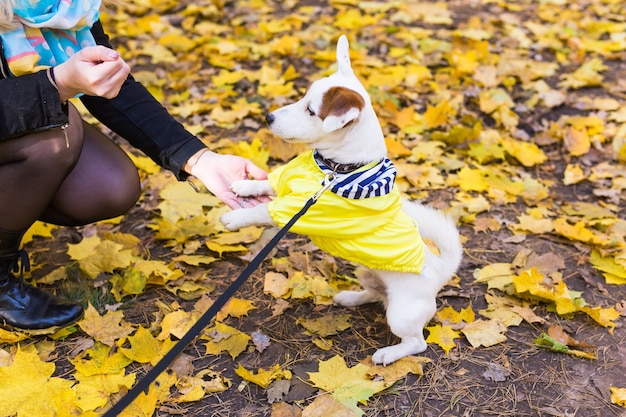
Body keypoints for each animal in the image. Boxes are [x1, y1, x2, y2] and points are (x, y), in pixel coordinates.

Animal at [218, 35, 458, 364]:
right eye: (301, 98)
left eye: (310, 110)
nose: (268, 116)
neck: (332, 169)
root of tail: (439, 271)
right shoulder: (290, 182)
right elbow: (267, 183)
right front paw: (245, 184)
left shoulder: (302, 211)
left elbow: (264, 210)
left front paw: (235, 218)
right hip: (366, 272)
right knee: (376, 294)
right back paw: (350, 297)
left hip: (402, 314)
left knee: (416, 342)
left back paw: (389, 353)